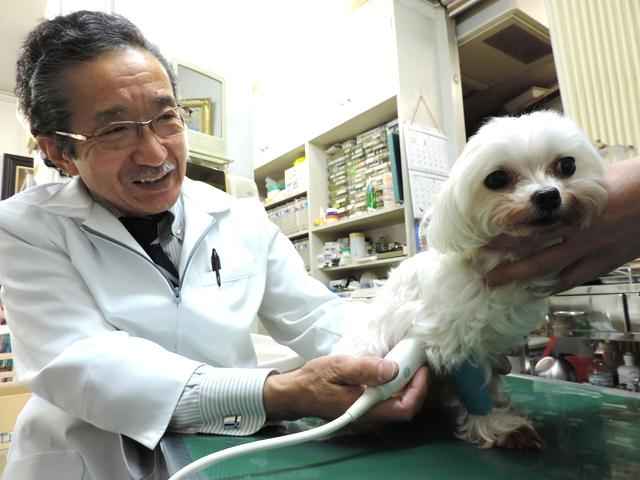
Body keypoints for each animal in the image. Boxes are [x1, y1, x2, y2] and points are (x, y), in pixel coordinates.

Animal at [338, 110, 608, 448]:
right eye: (497, 179)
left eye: (567, 165)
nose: (548, 196)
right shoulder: (454, 339)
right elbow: (476, 389)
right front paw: (497, 425)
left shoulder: (488, 345)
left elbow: (490, 382)